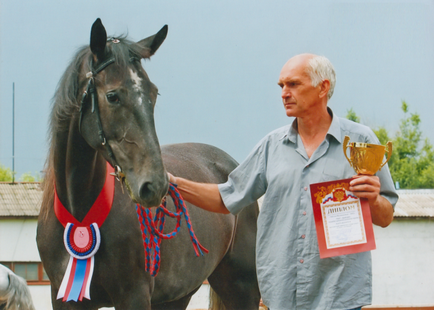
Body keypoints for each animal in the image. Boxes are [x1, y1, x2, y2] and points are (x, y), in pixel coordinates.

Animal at [37, 18, 260, 308]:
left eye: (154, 94)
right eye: (112, 96)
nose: (154, 186)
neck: (81, 213)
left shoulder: (134, 295)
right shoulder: (62, 296)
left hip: (241, 288)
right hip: (180, 295)